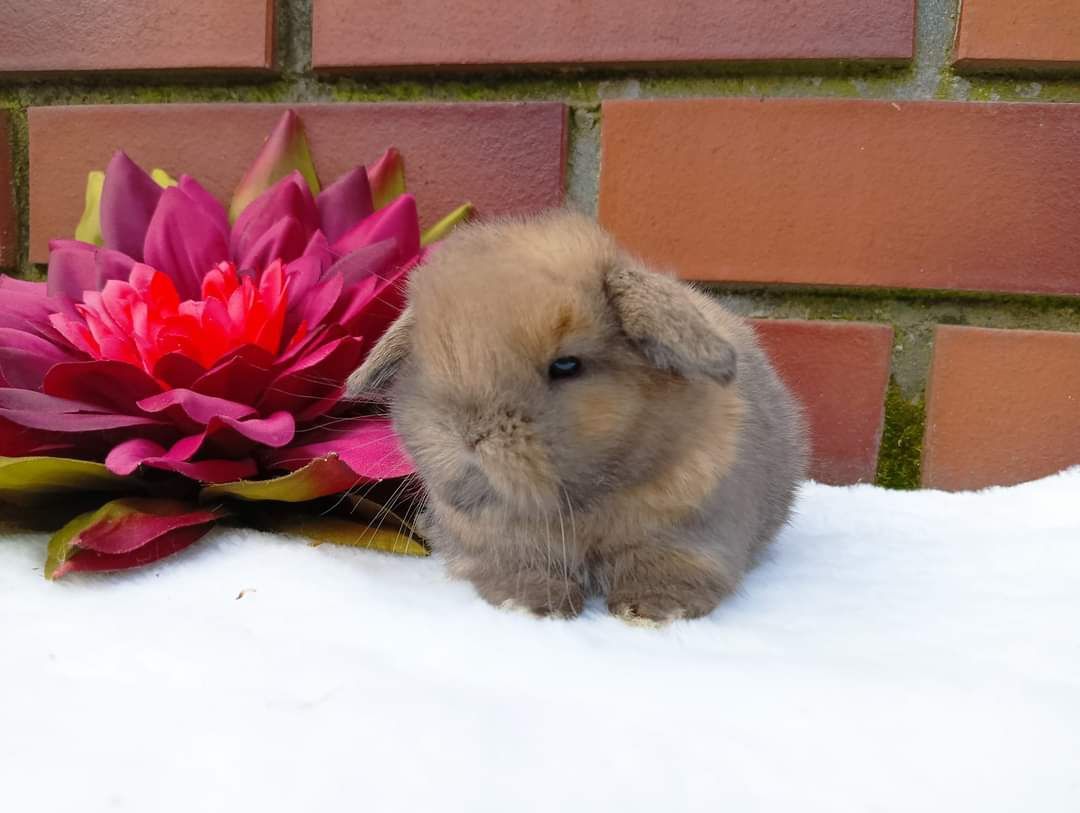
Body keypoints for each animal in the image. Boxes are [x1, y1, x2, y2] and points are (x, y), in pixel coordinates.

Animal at [349, 209, 807, 621]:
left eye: (566, 365)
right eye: (424, 362)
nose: (465, 434)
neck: (580, 506)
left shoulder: (688, 536)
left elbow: (666, 571)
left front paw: (648, 611)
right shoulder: (503, 548)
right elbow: (519, 572)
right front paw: (533, 605)